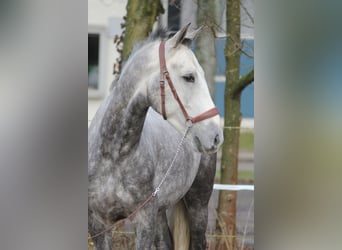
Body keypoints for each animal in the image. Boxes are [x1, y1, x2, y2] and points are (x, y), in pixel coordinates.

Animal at [87, 23, 223, 250]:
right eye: (189, 76)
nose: (215, 136)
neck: (114, 155)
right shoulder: (98, 224)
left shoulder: (144, 220)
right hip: (161, 212)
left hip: (198, 204)